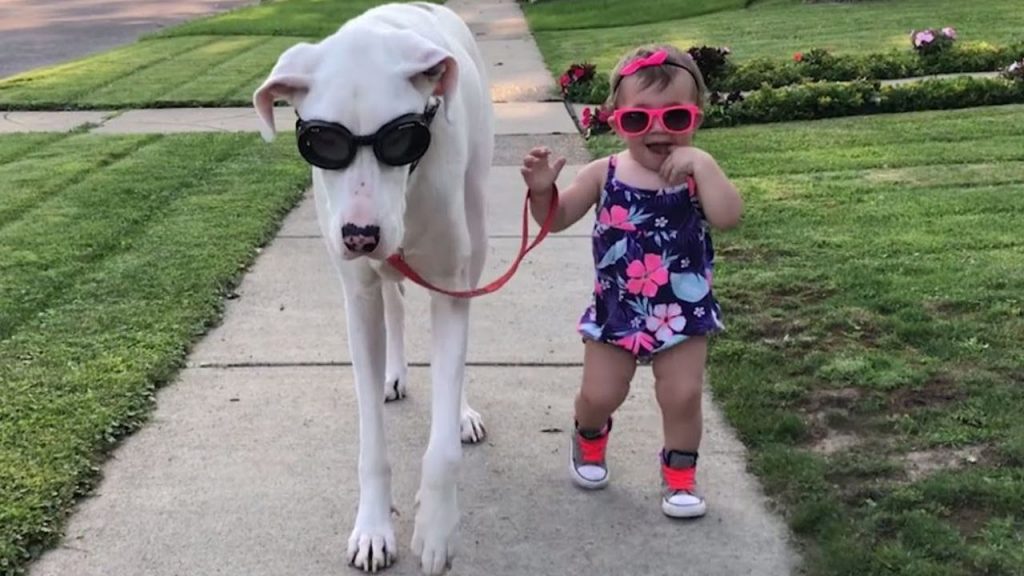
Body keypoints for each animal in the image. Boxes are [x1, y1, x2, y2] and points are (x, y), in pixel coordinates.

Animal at [254, 2, 495, 569]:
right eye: (322, 143)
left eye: (402, 138)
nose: (360, 235)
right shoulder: (359, 300)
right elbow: (371, 446)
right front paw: (372, 527)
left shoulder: (450, 286)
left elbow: (442, 447)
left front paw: (435, 527)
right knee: (395, 302)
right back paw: (395, 373)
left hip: (475, 241)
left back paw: (462, 412)